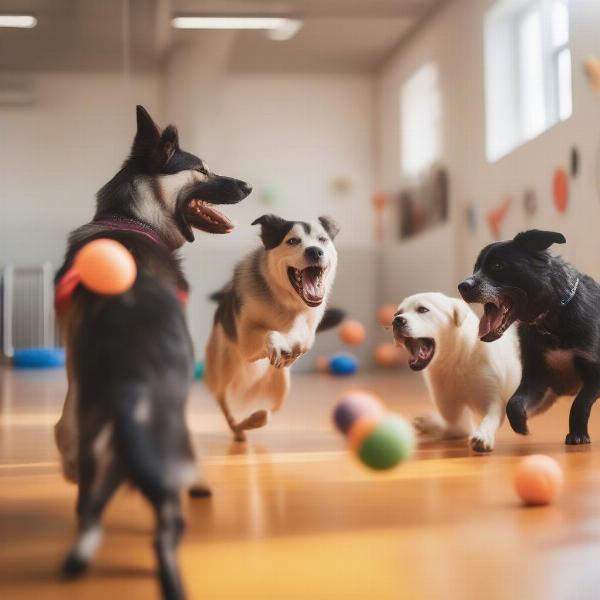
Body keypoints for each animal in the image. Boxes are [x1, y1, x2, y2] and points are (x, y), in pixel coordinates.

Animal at [55, 105, 251, 596]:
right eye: (202, 169)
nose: (248, 187)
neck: (132, 218)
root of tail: (133, 384)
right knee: (166, 528)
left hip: (99, 447)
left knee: (89, 509)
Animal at [206, 214, 340, 440]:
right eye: (292, 241)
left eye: (322, 240)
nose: (315, 251)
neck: (283, 301)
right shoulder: (247, 342)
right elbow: (269, 332)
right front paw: (277, 343)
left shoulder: (305, 332)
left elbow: (300, 338)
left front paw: (290, 347)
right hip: (223, 369)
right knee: (224, 403)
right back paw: (238, 427)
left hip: (282, 383)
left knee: (269, 412)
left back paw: (253, 419)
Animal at [394, 292, 520, 452]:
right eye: (397, 313)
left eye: (422, 309)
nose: (396, 320)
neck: (457, 360)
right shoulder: (450, 407)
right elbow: (456, 427)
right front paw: (430, 424)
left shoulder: (493, 399)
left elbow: (489, 419)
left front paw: (483, 435)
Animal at [460, 230, 600, 446]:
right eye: (475, 268)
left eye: (498, 265)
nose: (461, 286)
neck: (550, 321)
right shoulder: (536, 377)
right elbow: (514, 402)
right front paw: (521, 425)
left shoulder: (594, 371)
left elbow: (580, 403)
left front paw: (578, 434)